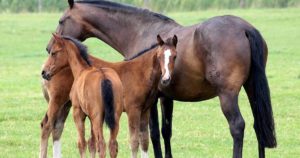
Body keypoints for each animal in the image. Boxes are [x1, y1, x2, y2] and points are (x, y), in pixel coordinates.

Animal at [42, 34, 178, 157]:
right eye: (159, 56)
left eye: (175, 56)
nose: (44, 72)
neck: (141, 72)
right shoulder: (133, 110)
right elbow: (134, 141)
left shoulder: (145, 110)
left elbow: (143, 141)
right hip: (57, 102)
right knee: (46, 127)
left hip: (67, 106)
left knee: (56, 128)